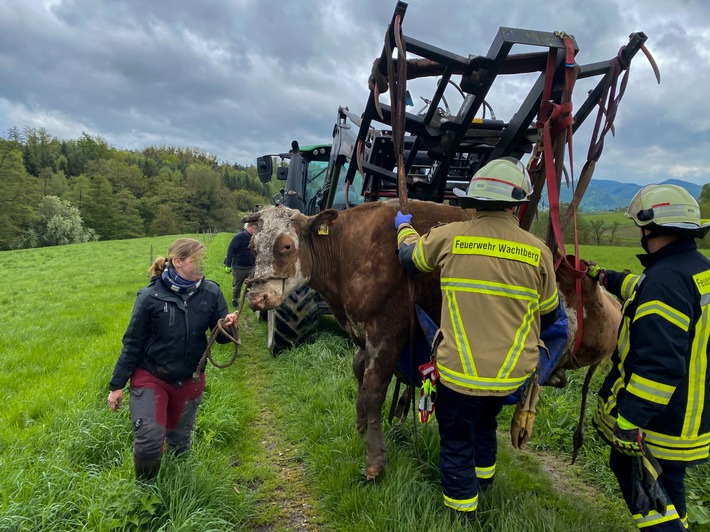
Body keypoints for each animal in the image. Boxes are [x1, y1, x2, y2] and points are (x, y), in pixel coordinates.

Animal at [245, 201, 624, 482]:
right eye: (251, 246)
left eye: (286, 246)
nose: (257, 297)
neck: (351, 252)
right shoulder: (363, 336)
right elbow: (359, 377)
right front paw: (360, 431)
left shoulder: (387, 333)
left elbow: (371, 393)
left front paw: (375, 461)